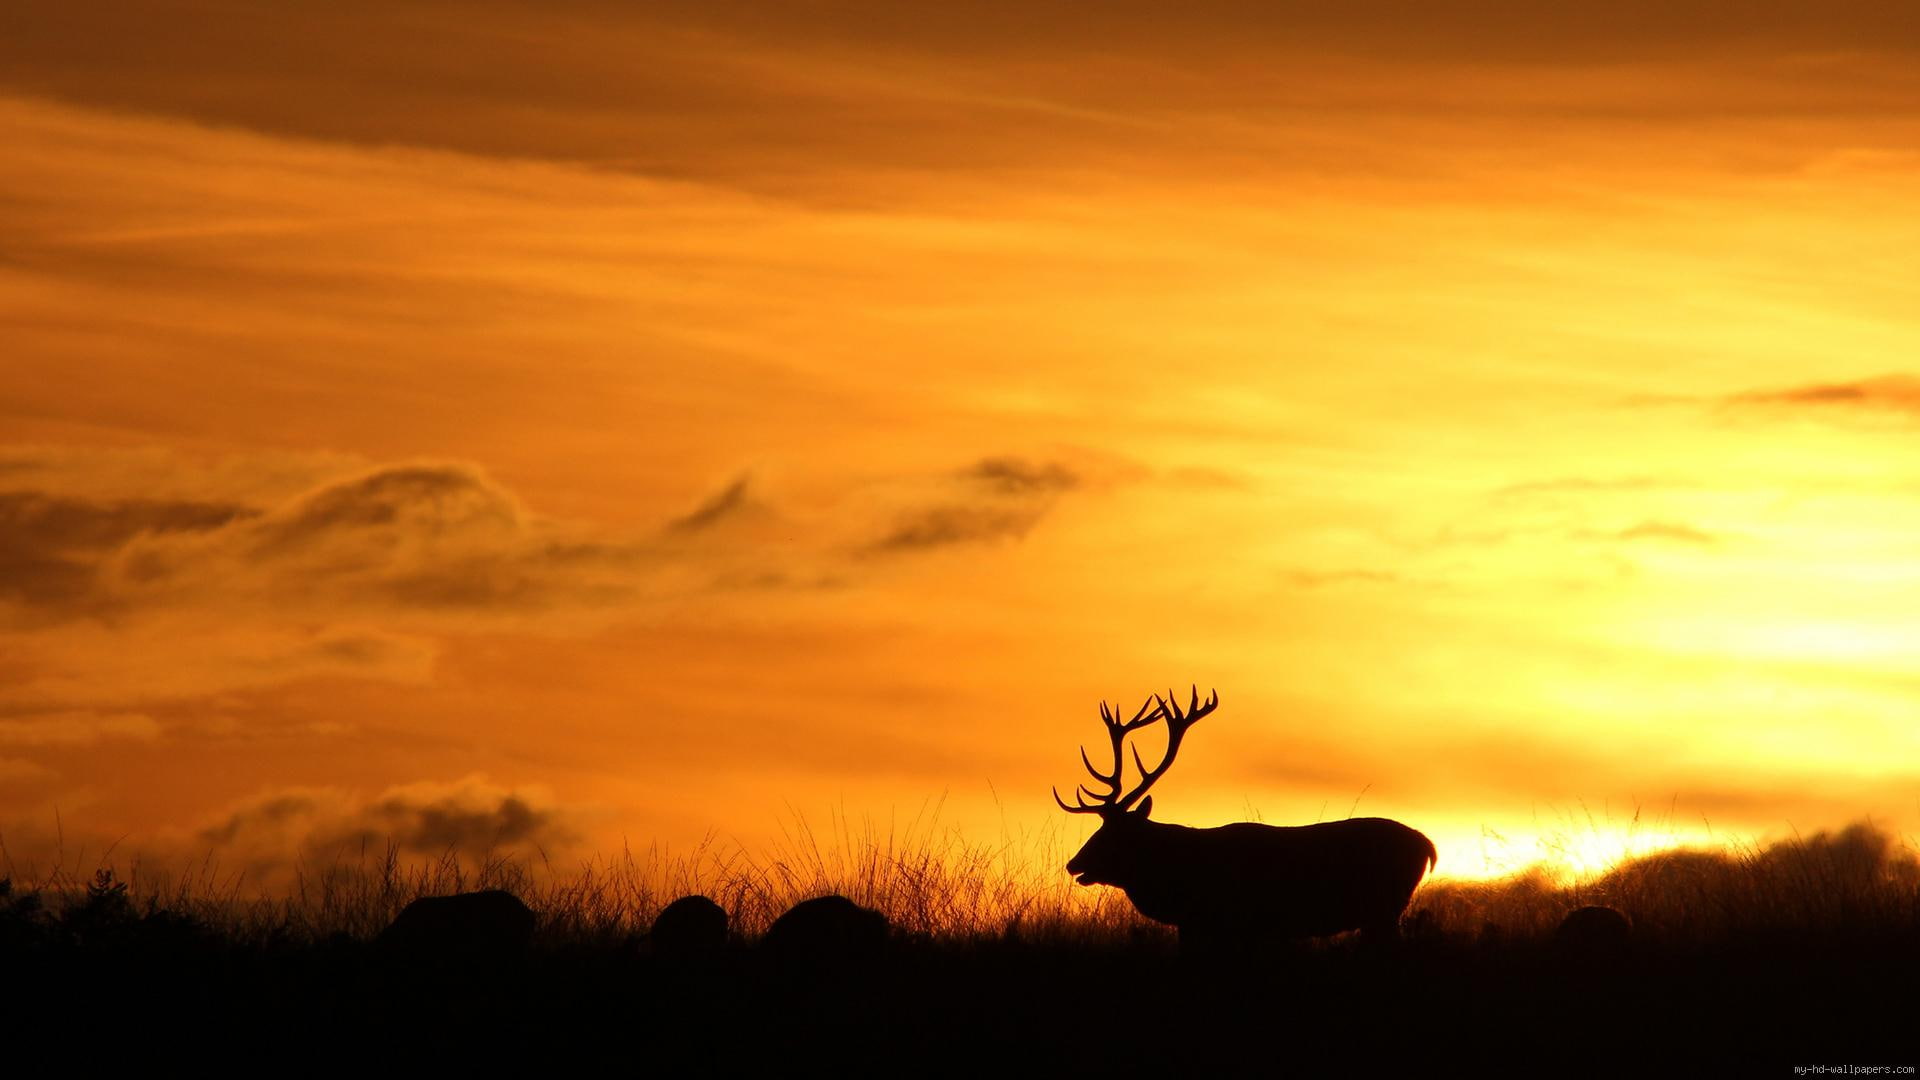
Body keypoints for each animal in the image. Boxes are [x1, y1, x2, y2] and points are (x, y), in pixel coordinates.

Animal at [1054, 687, 1436, 949]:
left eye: (1115, 834)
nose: (1074, 863)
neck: (1177, 873)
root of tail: (1428, 845)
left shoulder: (1222, 921)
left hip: (1384, 907)